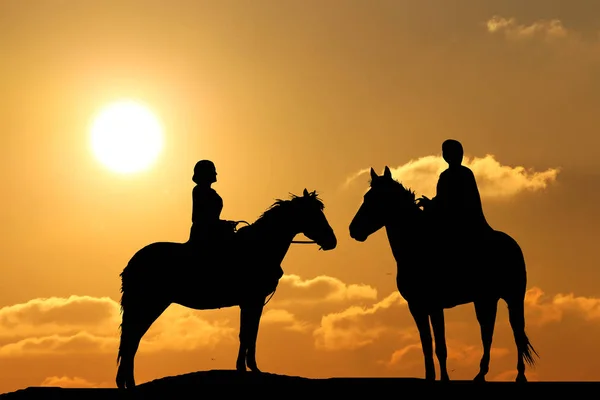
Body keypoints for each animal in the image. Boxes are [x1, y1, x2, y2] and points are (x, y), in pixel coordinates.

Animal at [115, 189, 336, 390]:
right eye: (313, 214)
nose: (332, 241)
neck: (258, 247)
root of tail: (133, 263)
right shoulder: (252, 301)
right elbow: (247, 334)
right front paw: (246, 368)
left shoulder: (252, 302)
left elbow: (249, 333)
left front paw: (248, 368)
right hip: (150, 303)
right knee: (132, 338)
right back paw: (129, 384)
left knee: (131, 339)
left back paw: (126, 383)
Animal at [350, 167, 536, 382]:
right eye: (366, 196)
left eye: (377, 199)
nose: (353, 229)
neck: (417, 248)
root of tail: (512, 244)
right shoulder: (416, 306)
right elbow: (426, 345)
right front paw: (429, 376)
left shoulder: (435, 305)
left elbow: (440, 346)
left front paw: (444, 378)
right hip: (485, 299)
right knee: (487, 331)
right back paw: (481, 373)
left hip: (514, 297)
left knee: (517, 330)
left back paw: (520, 375)